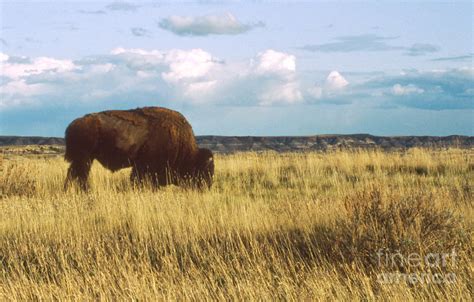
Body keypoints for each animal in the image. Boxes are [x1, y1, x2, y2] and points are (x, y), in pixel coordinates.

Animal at [62, 107, 213, 190]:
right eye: (204, 170)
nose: (207, 187)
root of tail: (72, 125)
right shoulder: (144, 168)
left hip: (83, 159)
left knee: (73, 174)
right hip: (84, 159)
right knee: (80, 176)